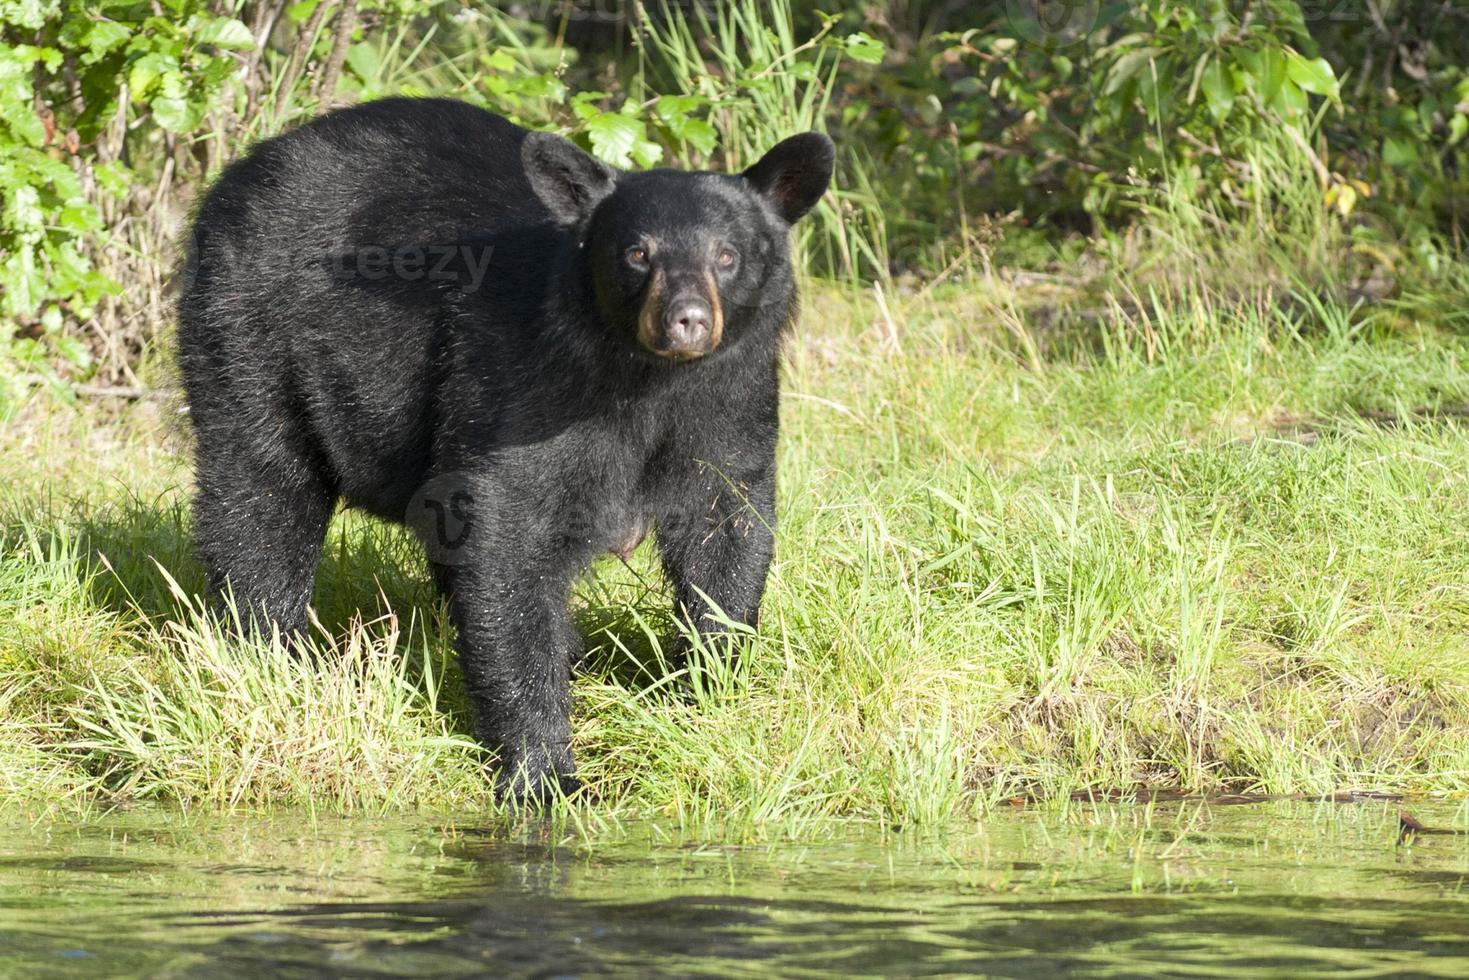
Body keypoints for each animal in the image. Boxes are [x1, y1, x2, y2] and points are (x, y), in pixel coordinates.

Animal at [177, 99, 834, 805]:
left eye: (727, 254)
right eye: (637, 252)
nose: (685, 319)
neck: (647, 381)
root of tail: (239, 173)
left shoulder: (733, 399)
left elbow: (727, 531)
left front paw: (708, 689)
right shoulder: (523, 387)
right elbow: (509, 547)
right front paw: (546, 774)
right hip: (249, 333)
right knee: (260, 494)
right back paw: (271, 650)